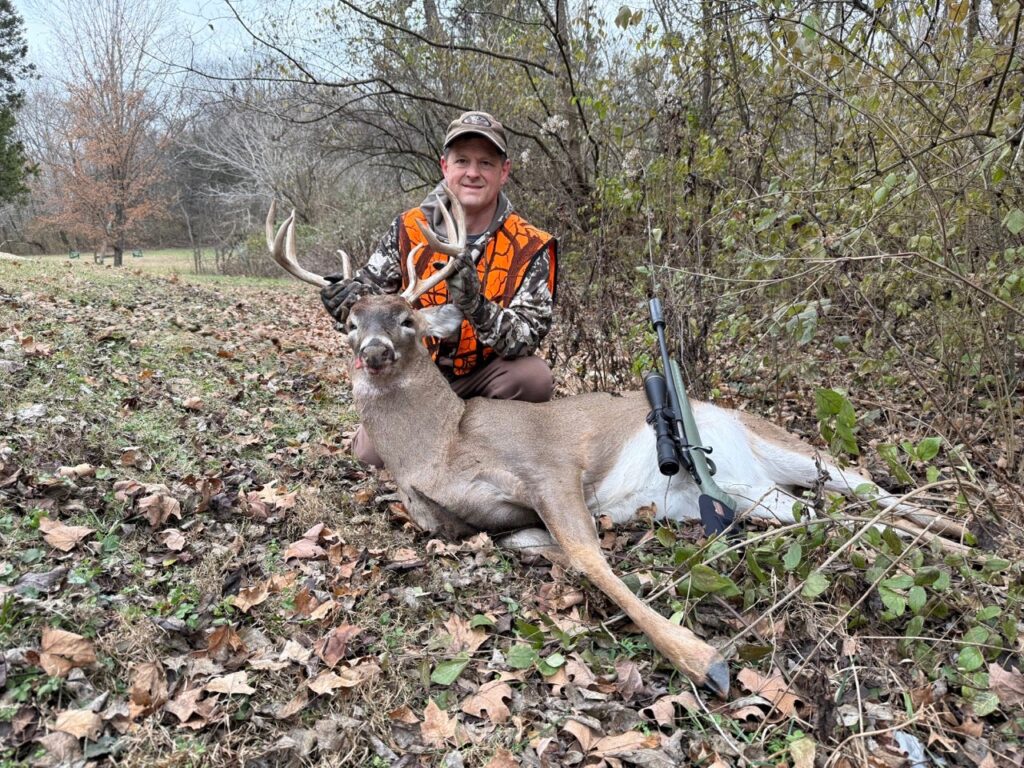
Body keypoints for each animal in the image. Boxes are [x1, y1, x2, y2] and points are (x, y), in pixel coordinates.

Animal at [264, 190, 967, 699]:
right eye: (351, 324)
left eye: (408, 319)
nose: (374, 352)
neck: (438, 447)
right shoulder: (465, 521)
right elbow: (533, 545)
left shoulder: (547, 464)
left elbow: (587, 555)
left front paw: (704, 661)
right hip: (754, 490)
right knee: (830, 512)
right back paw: (958, 540)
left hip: (781, 446)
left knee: (866, 489)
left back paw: (968, 534)